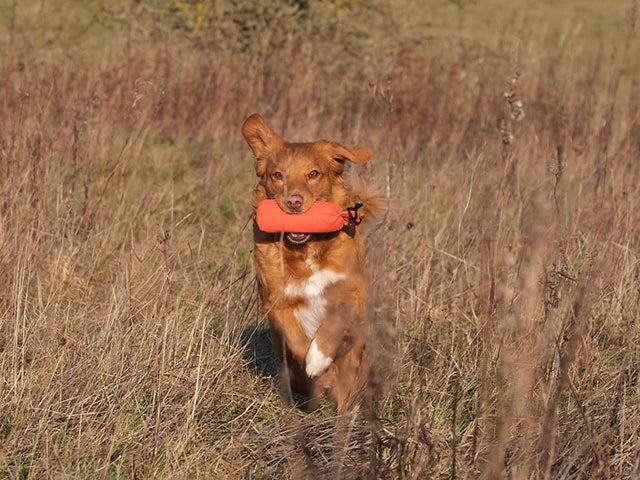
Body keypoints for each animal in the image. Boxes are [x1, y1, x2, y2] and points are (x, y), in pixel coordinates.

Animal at [241, 113, 380, 412]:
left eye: (313, 174)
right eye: (278, 175)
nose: (293, 202)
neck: (306, 250)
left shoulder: (354, 290)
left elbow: (334, 323)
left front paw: (318, 359)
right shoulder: (275, 299)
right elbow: (296, 338)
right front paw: (319, 369)